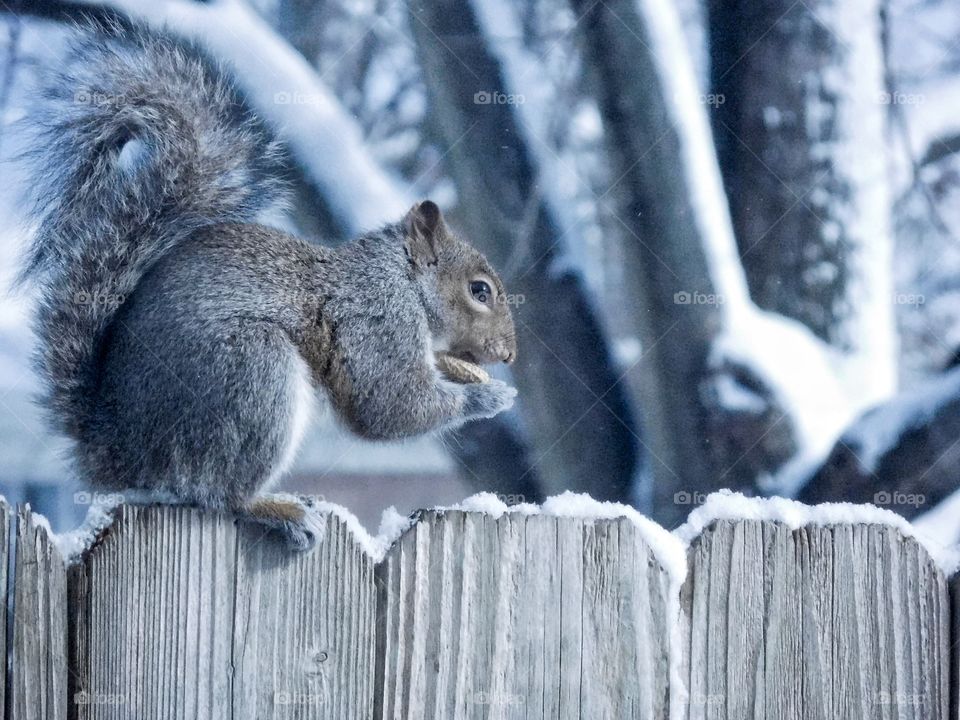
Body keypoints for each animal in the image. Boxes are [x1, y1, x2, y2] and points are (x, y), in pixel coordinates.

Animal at [18, 23, 518, 550]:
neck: (402, 281)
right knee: (219, 492)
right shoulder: (378, 318)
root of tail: (116, 446)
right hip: (250, 373)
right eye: (480, 291)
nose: (508, 355)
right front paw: (488, 399)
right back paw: (280, 510)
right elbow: (387, 404)